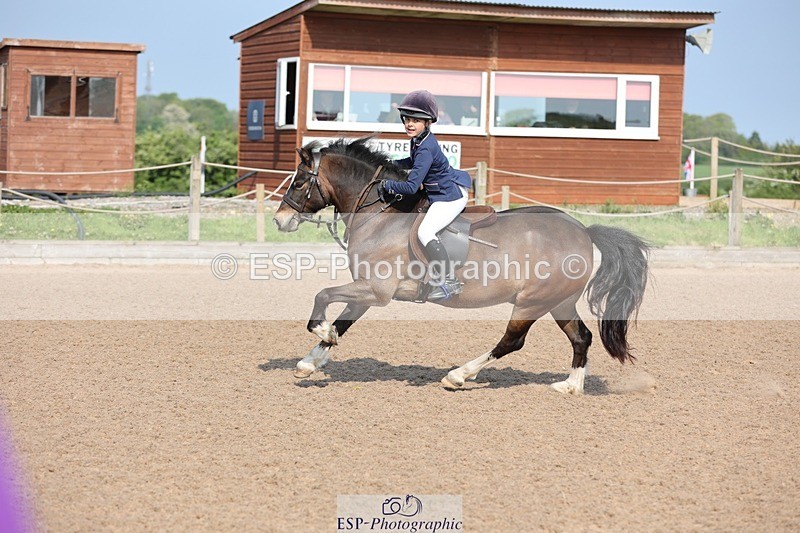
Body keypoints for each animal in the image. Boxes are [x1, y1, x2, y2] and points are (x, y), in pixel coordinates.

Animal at [273, 137, 650, 393]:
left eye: (299, 182)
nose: (279, 220)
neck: (379, 214)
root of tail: (583, 231)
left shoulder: (375, 291)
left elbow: (323, 296)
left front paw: (321, 331)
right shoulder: (366, 292)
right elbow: (343, 321)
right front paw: (309, 362)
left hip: (532, 301)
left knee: (512, 342)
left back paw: (458, 375)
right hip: (559, 301)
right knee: (581, 337)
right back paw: (570, 386)